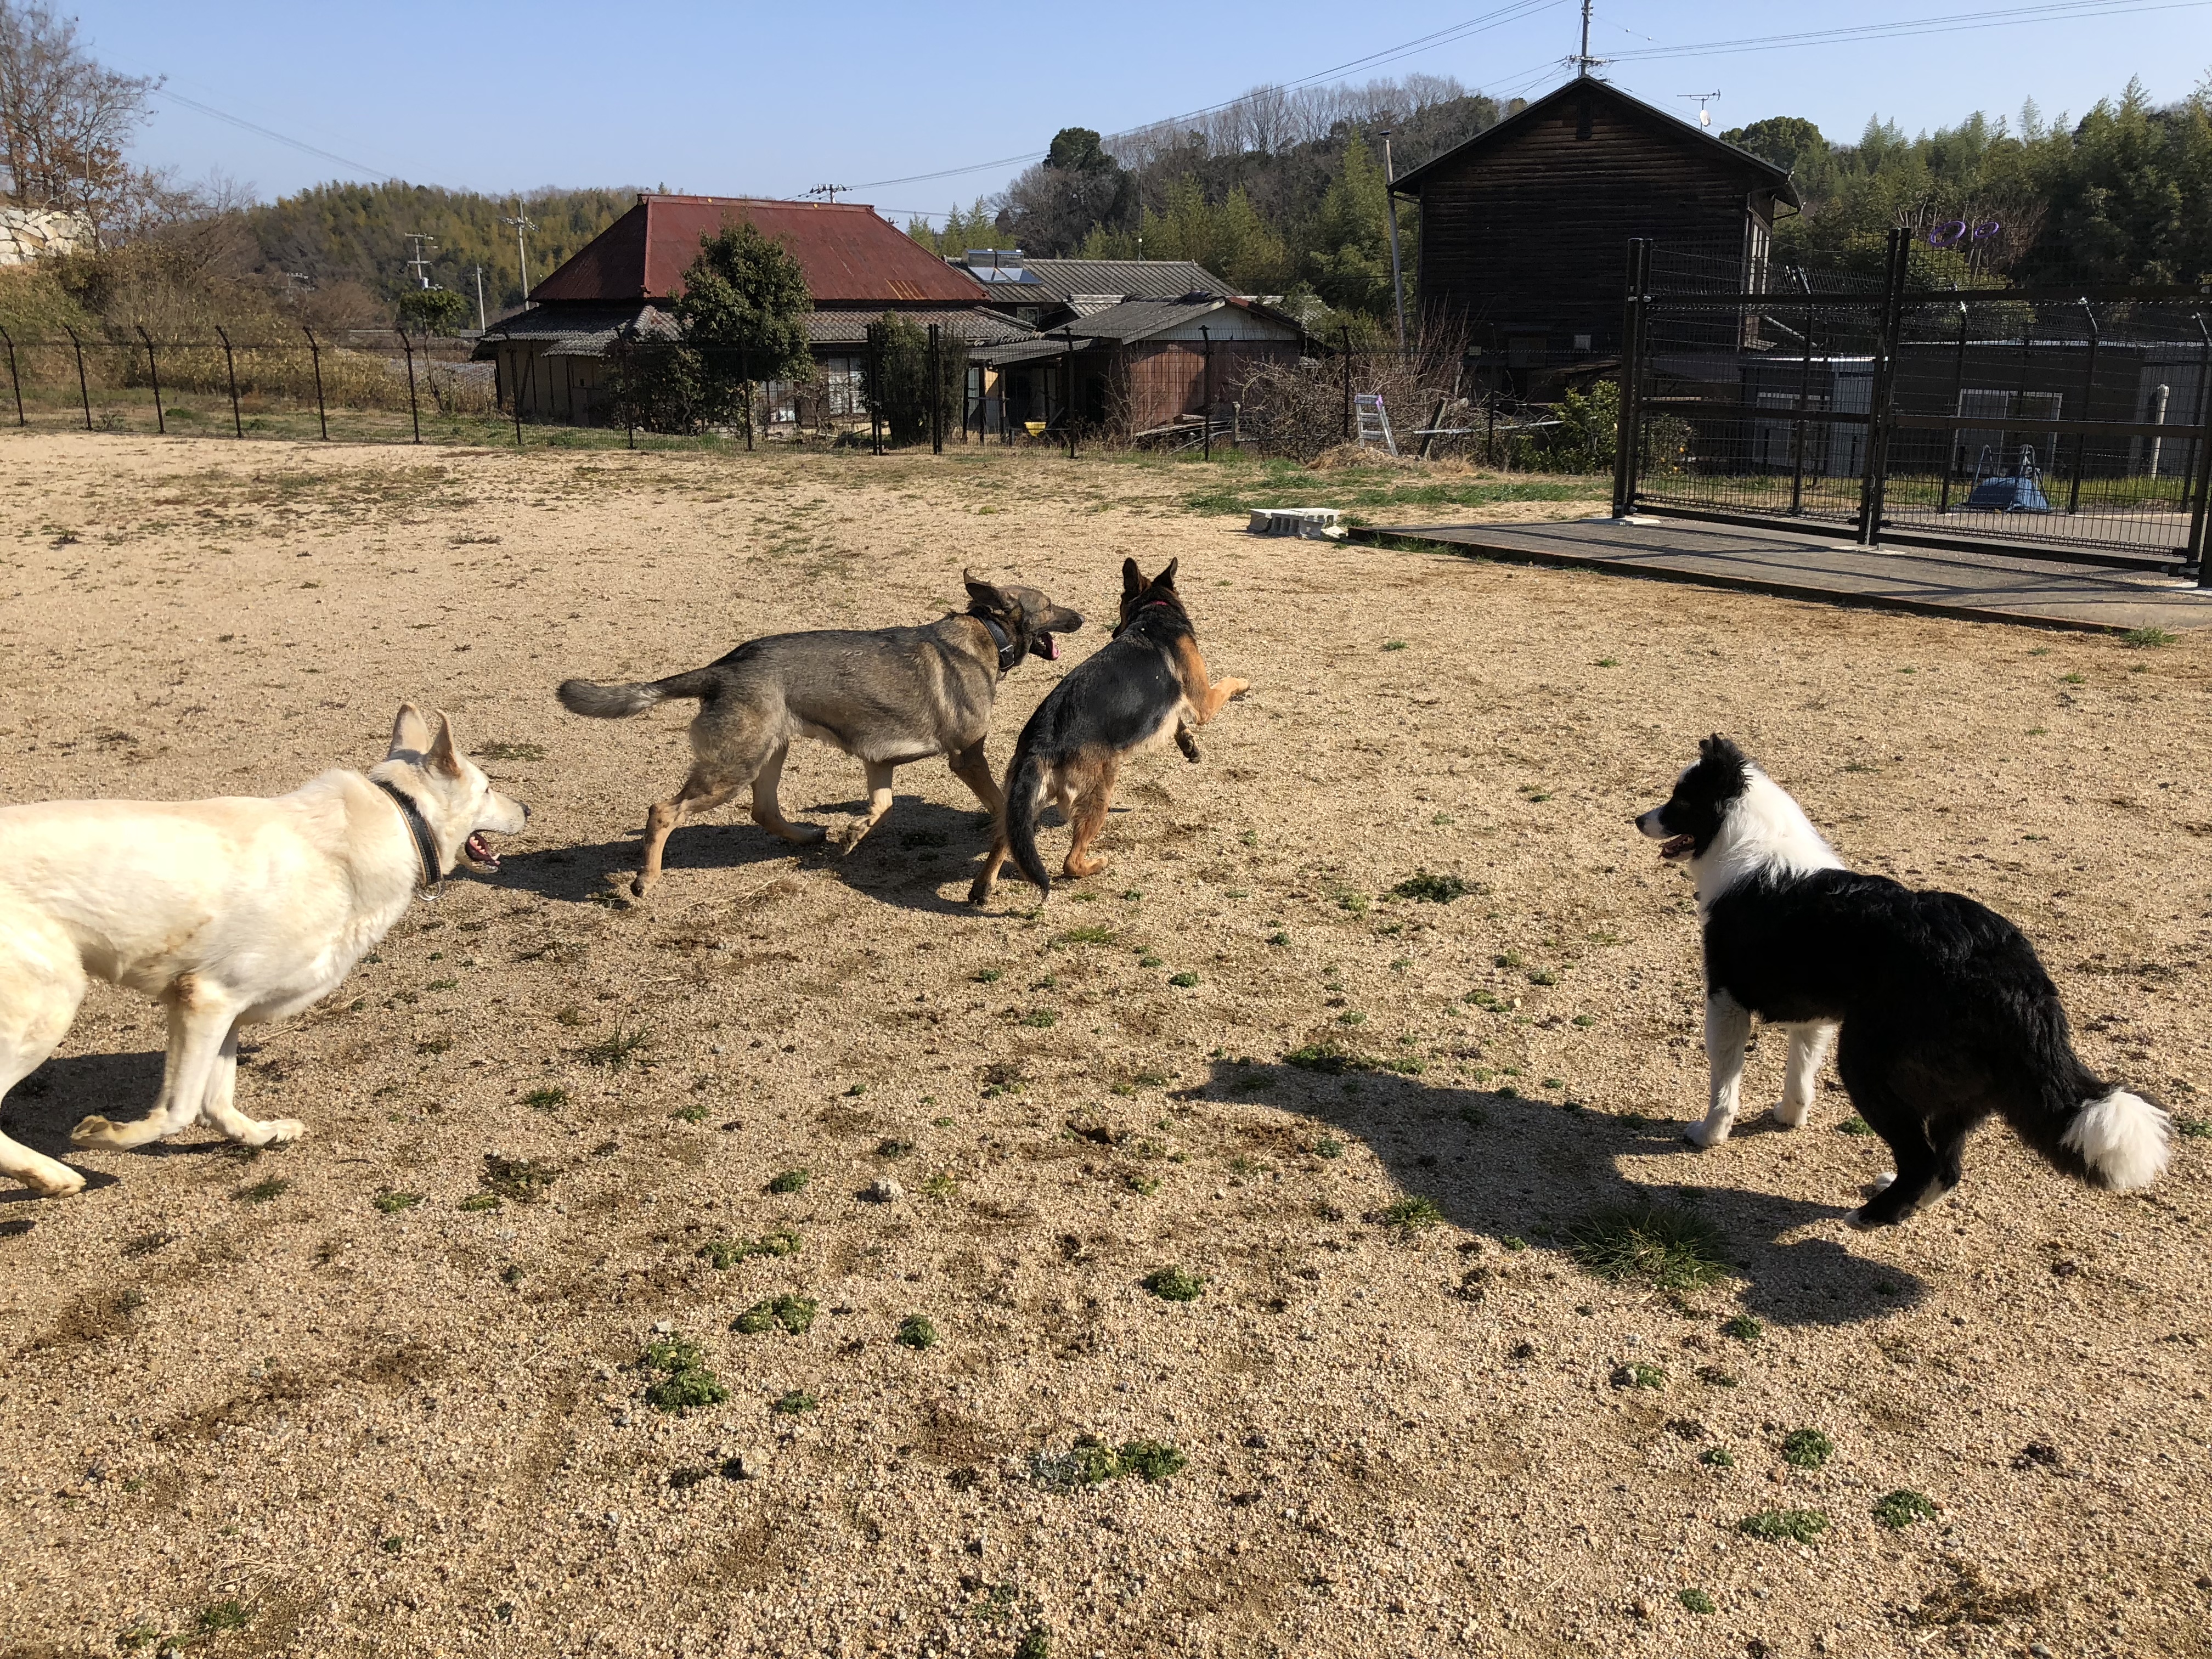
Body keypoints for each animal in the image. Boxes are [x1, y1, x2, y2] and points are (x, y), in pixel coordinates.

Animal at [0, 708, 526, 1203]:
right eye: (488, 789)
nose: (526, 807)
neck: (398, 815)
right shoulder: (206, 999)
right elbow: (177, 1111)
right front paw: (105, 1137)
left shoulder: (224, 1010)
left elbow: (216, 1104)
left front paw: (261, 1135)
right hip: (52, 1002)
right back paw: (52, 1176)